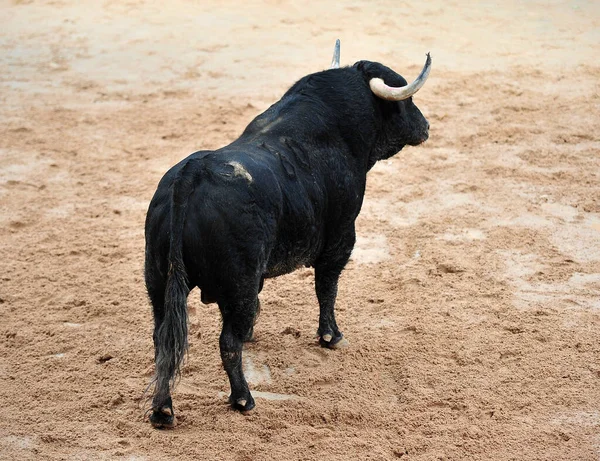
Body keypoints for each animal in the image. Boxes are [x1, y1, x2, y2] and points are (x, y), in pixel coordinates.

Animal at [145, 41, 432, 426]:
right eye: (406, 99)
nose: (425, 126)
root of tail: (189, 177)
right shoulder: (341, 236)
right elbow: (327, 287)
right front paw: (331, 336)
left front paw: (254, 332)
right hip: (237, 281)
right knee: (226, 343)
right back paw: (243, 399)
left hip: (157, 280)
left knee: (163, 339)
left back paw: (163, 409)